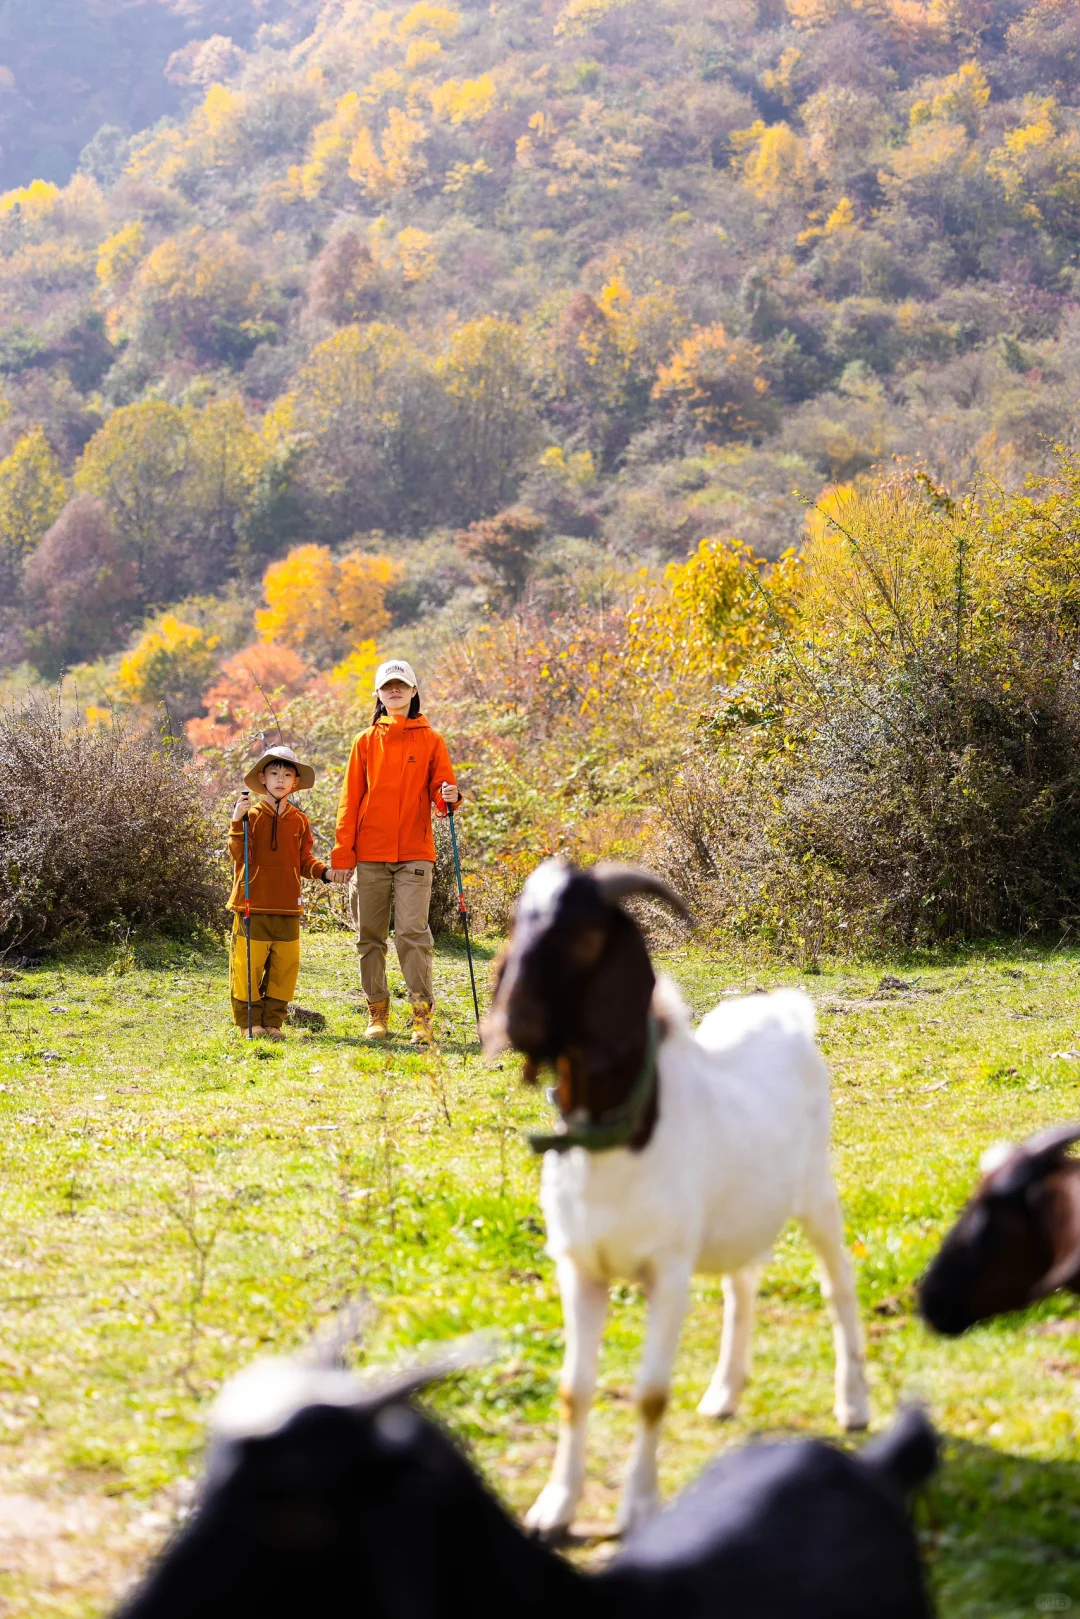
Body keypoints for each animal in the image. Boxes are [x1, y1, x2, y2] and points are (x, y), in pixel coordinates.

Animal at [485, 854, 874, 1534]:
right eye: (518, 920)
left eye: (585, 935)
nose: (513, 1020)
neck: (619, 1145)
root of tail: (787, 1013)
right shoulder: (580, 1269)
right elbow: (573, 1390)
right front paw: (554, 1506)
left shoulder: (666, 1272)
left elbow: (649, 1394)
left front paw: (639, 1507)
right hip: (740, 1214)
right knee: (742, 1285)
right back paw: (724, 1393)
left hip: (816, 1192)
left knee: (838, 1286)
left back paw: (853, 1405)